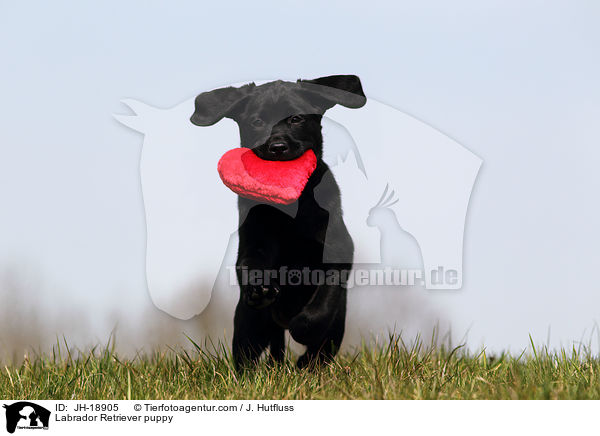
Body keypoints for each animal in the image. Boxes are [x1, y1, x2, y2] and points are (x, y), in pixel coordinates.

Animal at [191, 75, 366, 368]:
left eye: (296, 118)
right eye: (257, 121)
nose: (277, 147)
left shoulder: (339, 248)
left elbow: (323, 300)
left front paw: (304, 326)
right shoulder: (254, 242)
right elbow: (249, 263)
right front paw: (259, 288)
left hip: (336, 328)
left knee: (319, 351)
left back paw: (305, 365)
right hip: (248, 322)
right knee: (246, 356)